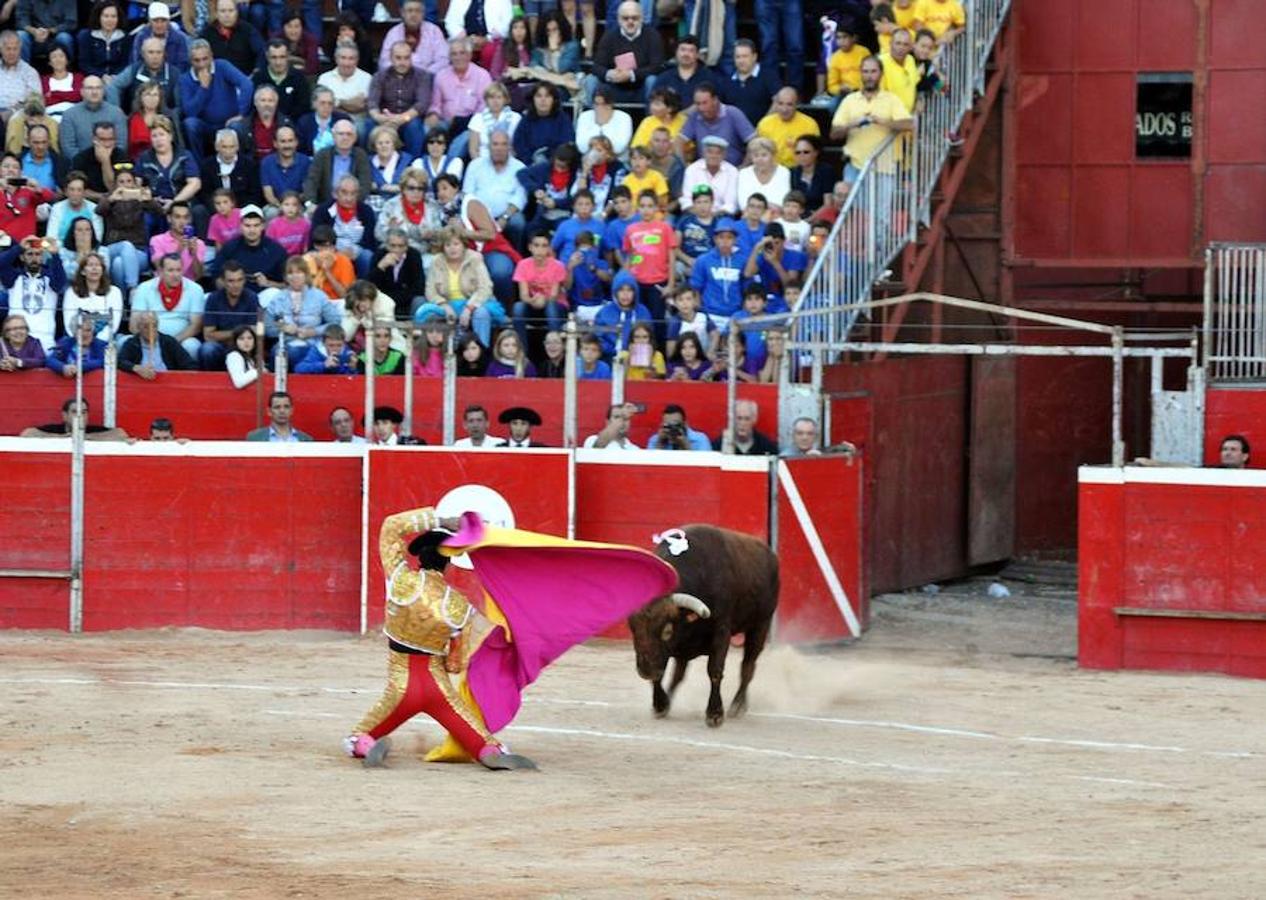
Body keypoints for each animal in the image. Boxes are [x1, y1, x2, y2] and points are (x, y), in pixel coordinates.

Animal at [627, 524, 774, 729]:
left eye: (667, 631)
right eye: (632, 628)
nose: (645, 671)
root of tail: (769, 553)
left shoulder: (722, 631)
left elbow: (715, 670)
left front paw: (715, 714)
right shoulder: (671, 650)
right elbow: (665, 674)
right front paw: (660, 705)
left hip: (761, 625)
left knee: (748, 667)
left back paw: (738, 705)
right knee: (678, 675)